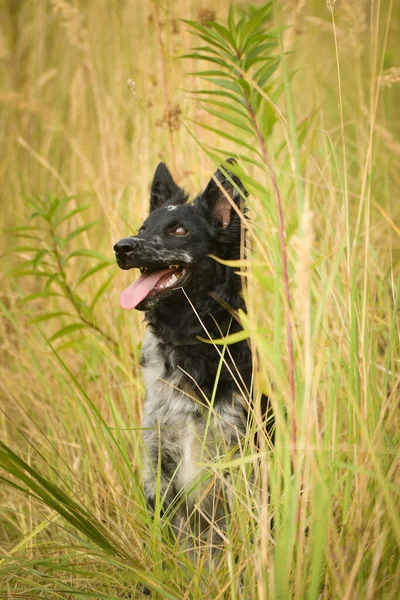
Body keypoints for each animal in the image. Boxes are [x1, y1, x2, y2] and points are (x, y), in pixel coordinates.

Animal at [113, 161, 272, 552]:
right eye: (143, 228)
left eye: (179, 231)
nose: (121, 247)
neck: (188, 344)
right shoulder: (158, 466)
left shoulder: (237, 463)